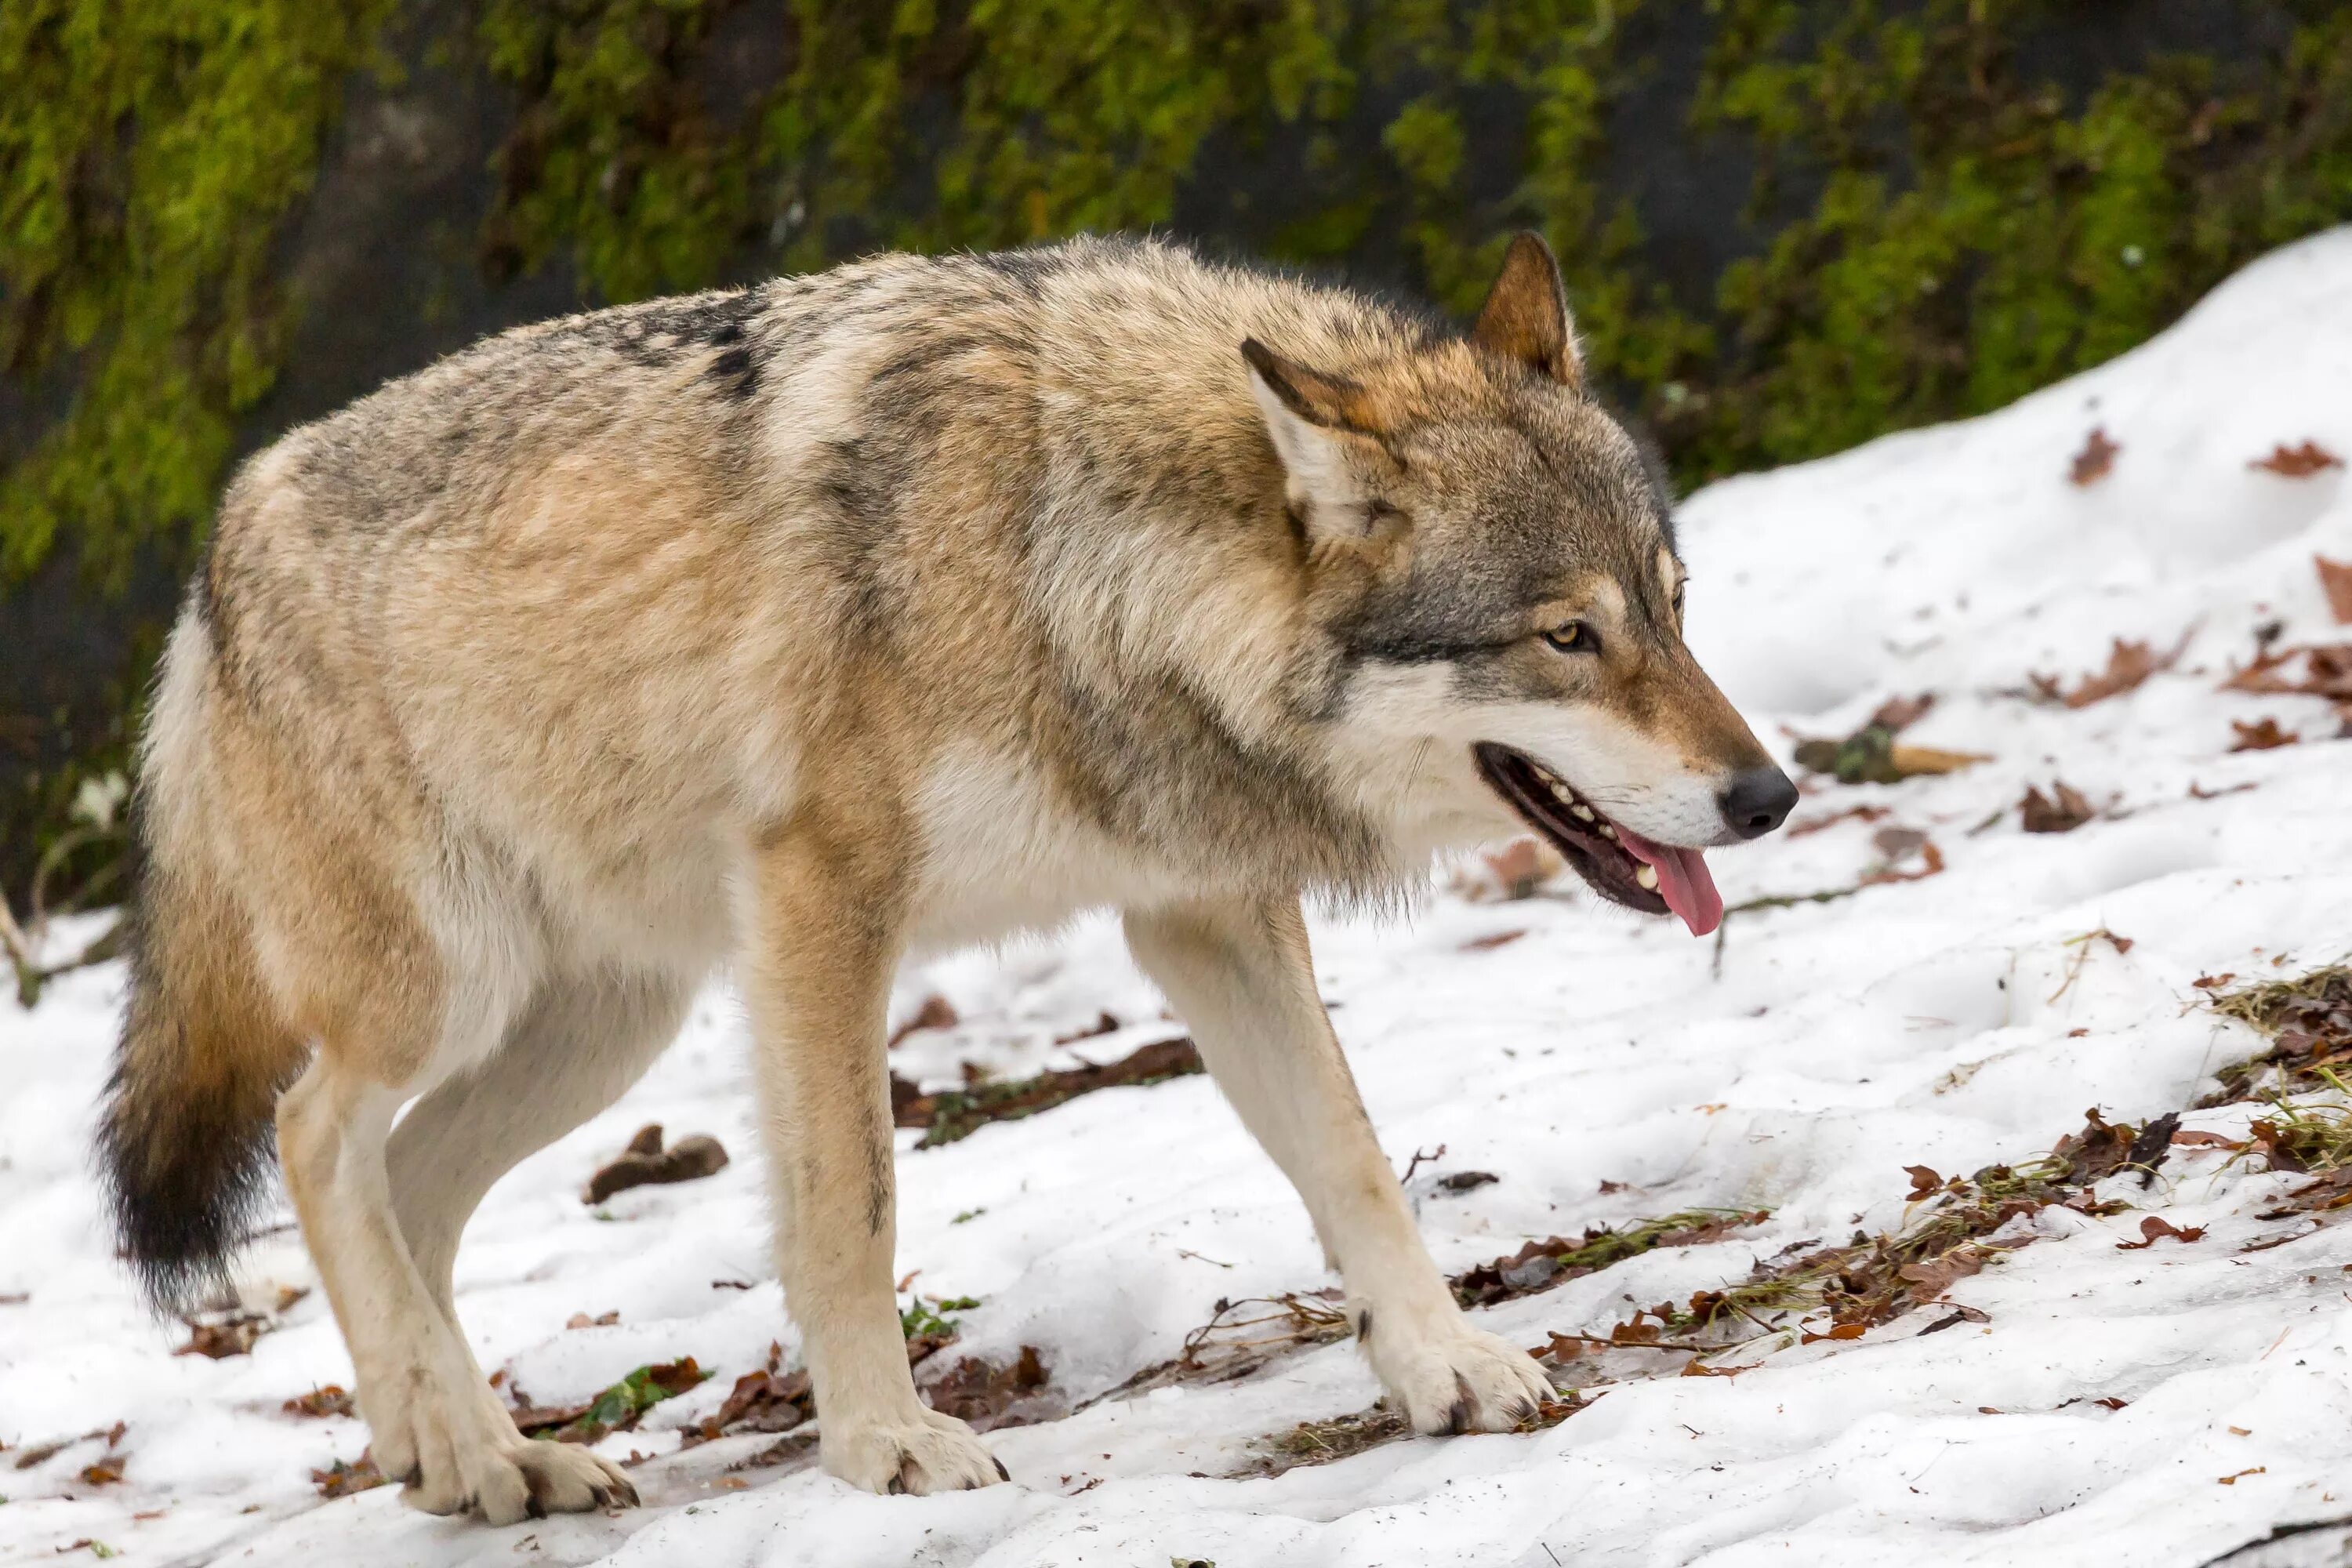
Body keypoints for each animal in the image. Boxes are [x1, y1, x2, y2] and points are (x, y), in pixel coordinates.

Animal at [87, 232, 1778, 1523]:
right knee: (316, 1138)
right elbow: (855, 1196)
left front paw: (1445, 1365)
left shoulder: (1203, 910)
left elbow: (1353, 1156)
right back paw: (452, 1445)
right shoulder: (825, 899)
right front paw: (885, 1446)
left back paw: (476, 1450)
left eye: (1677, 608)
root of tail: (216, 544)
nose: (1766, 796)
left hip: (602, 1030)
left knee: (412, 1186)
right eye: (1567, 637)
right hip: (453, 989)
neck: (1067, 551)